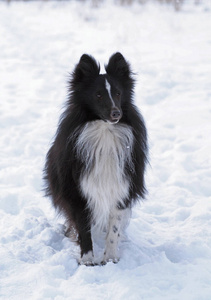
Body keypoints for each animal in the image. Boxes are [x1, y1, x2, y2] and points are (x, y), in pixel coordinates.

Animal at [43, 52, 148, 266]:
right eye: (98, 95)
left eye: (118, 93)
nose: (116, 113)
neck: (104, 130)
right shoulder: (77, 189)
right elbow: (84, 228)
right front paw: (87, 260)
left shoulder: (121, 186)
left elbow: (114, 227)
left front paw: (110, 258)